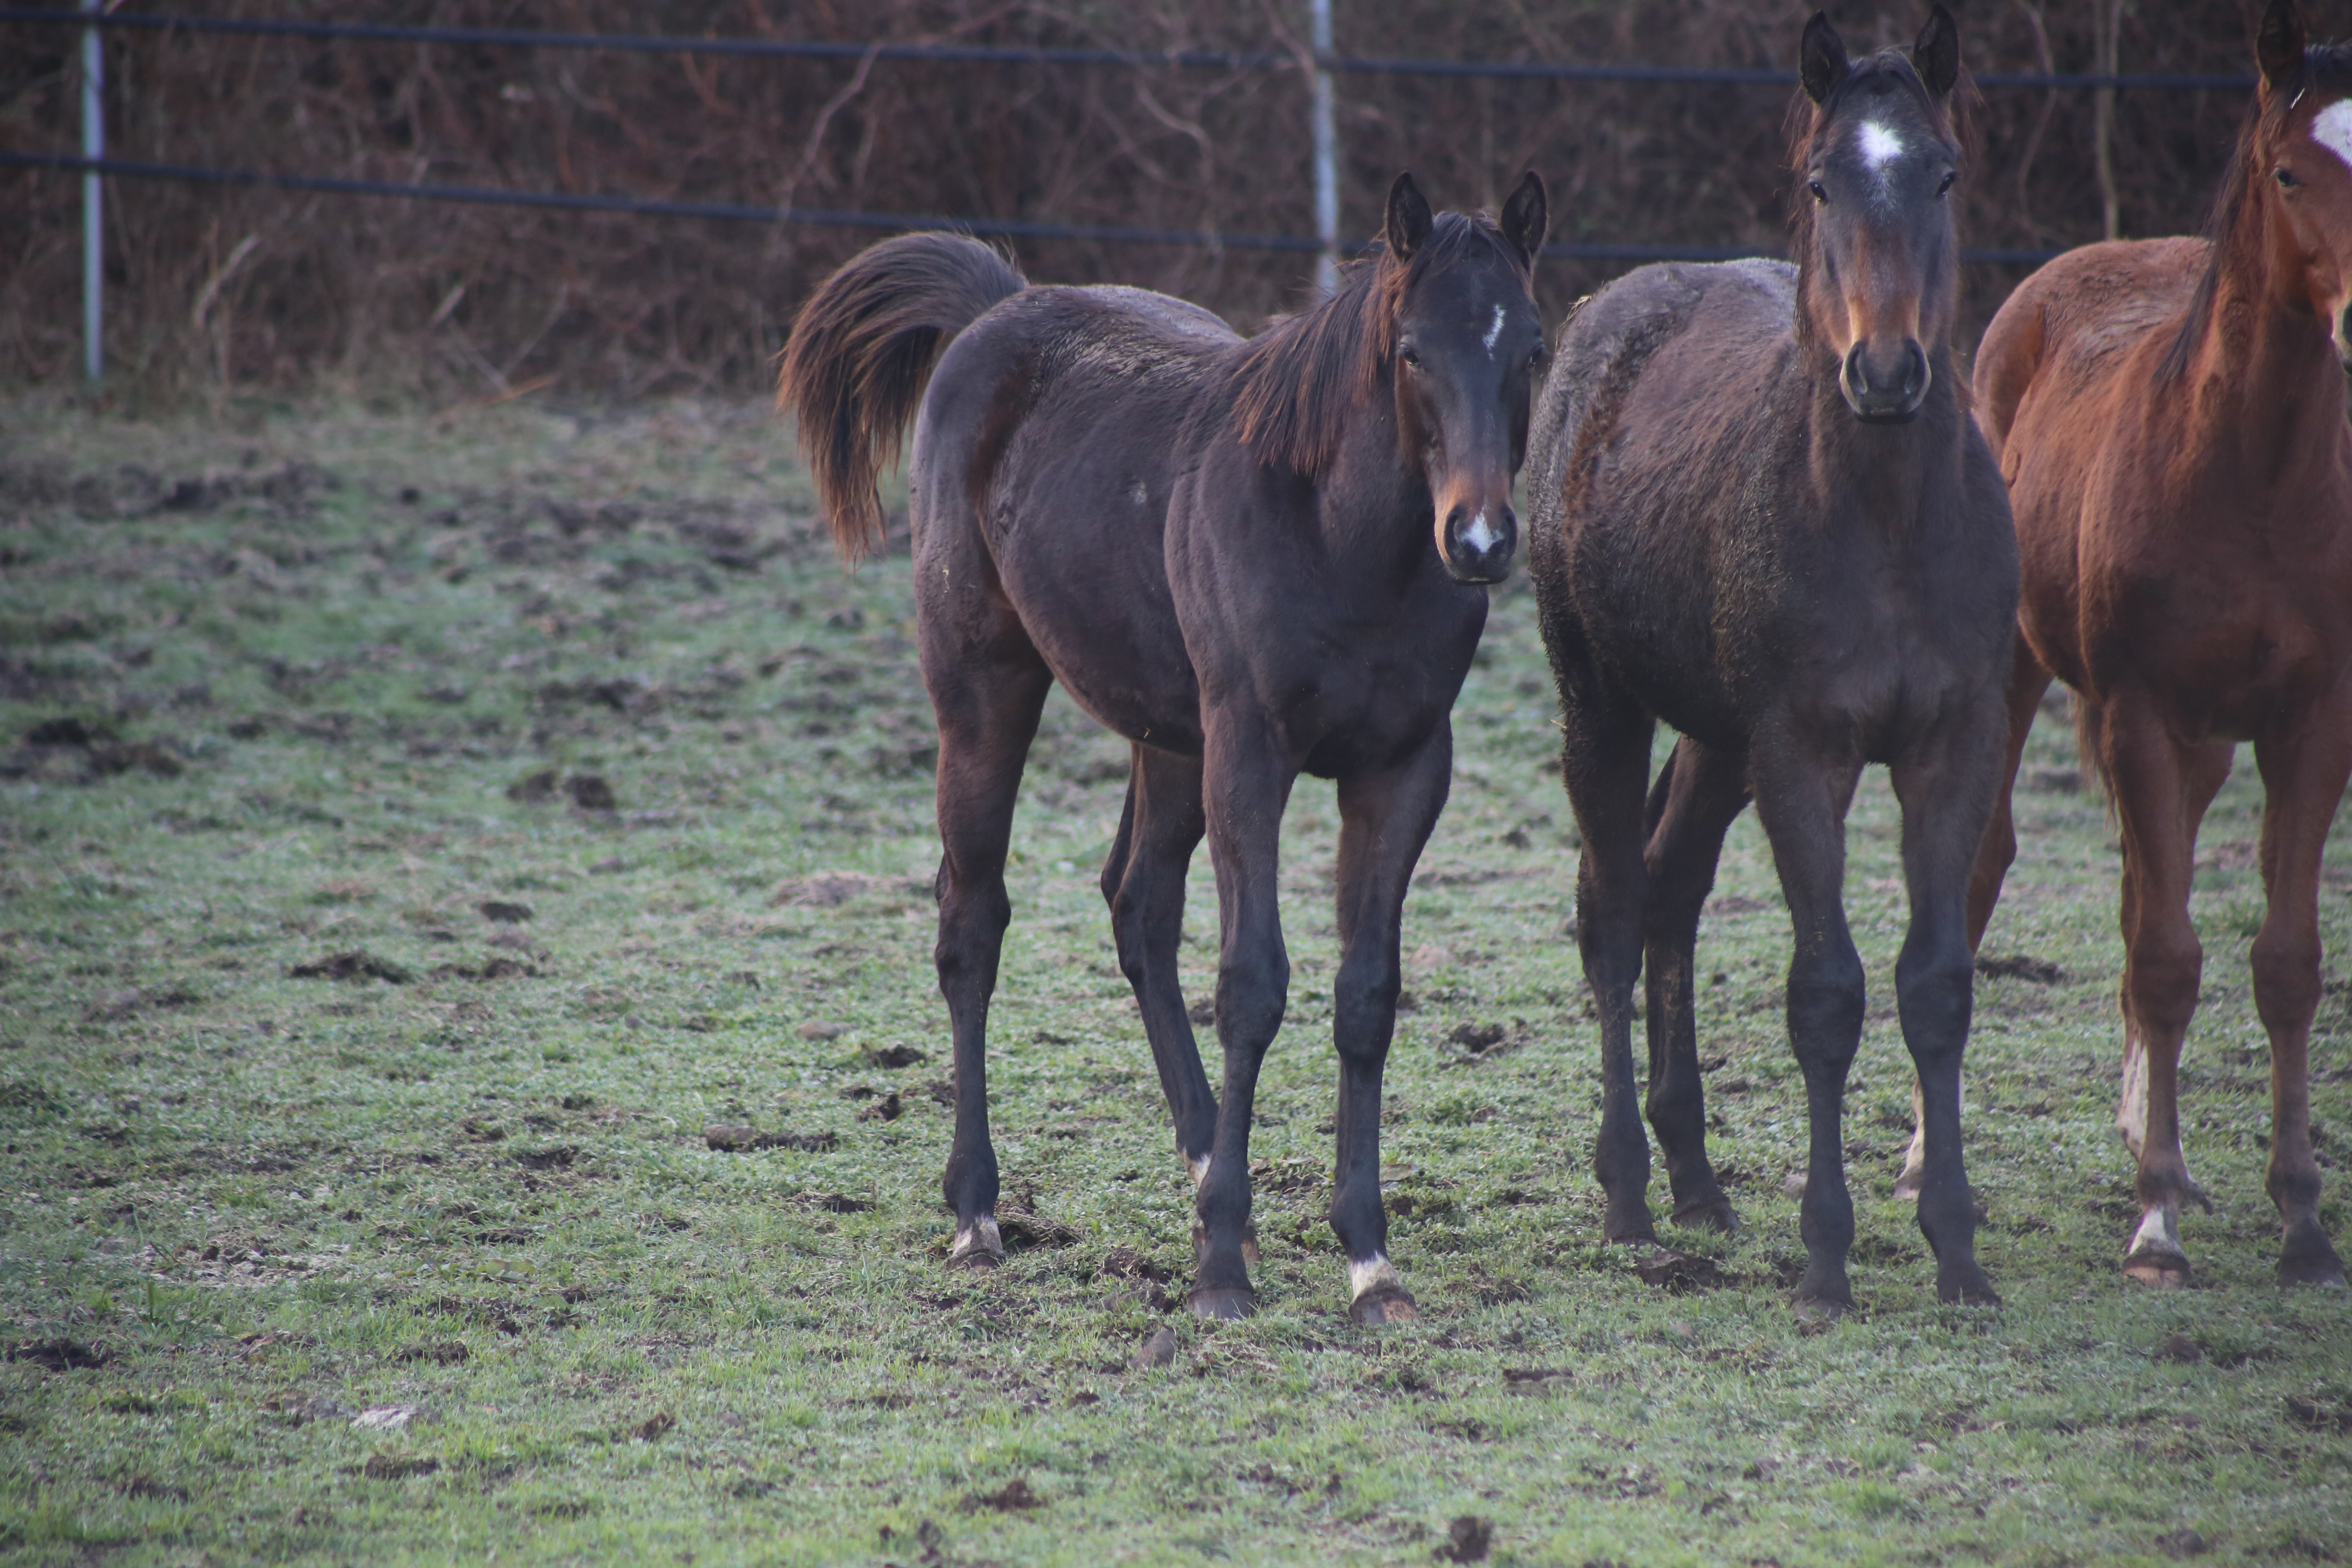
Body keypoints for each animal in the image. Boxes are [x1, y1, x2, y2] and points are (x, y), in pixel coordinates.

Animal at [1524, 9, 2022, 1326]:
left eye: (1942, 172)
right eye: (1818, 181)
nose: (1887, 373)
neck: (1887, 521)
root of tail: (1596, 316)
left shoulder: (1955, 743)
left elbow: (1935, 985)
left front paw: (1956, 1250)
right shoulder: (1805, 750)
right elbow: (1827, 991)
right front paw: (1827, 1257)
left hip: (1715, 735)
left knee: (1670, 888)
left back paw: (1696, 1175)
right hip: (1603, 699)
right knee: (1613, 902)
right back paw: (1630, 1190)